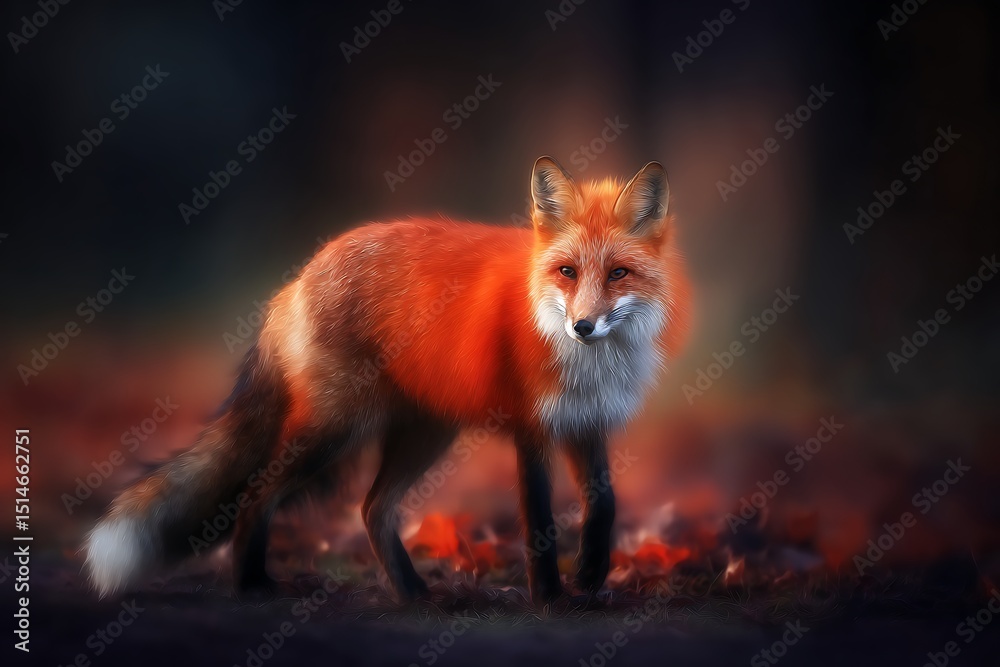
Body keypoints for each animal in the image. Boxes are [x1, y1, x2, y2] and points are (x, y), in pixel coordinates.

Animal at [84, 156, 691, 603]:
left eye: (618, 273)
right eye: (567, 272)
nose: (582, 326)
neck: (588, 365)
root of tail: (300, 276)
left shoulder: (586, 423)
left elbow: (603, 503)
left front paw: (589, 576)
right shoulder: (531, 429)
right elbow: (540, 524)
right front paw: (550, 599)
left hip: (425, 434)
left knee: (372, 509)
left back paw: (413, 593)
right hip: (333, 431)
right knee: (260, 492)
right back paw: (252, 584)